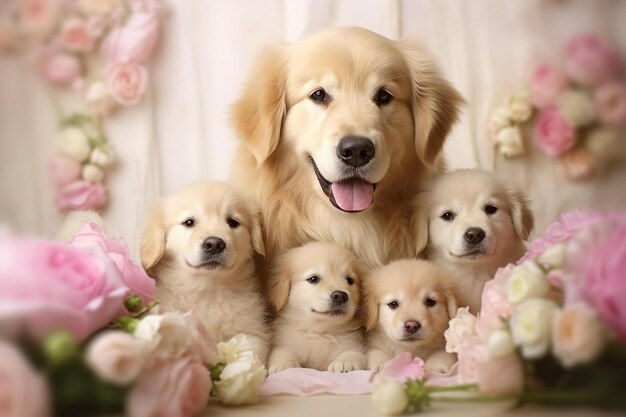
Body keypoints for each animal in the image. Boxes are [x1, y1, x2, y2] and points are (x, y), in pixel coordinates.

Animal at [140, 181, 270, 360]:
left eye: (233, 222)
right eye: (189, 222)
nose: (214, 244)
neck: (207, 287)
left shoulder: (253, 332)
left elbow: (250, 353)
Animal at [264, 240, 364, 374]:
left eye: (349, 280)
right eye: (313, 279)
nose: (341, 296)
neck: (320, 331)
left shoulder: (356, 347)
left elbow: (353, 353)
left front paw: (343, 363)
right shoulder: (284, 343)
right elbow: (282, 351)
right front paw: (283, 365)